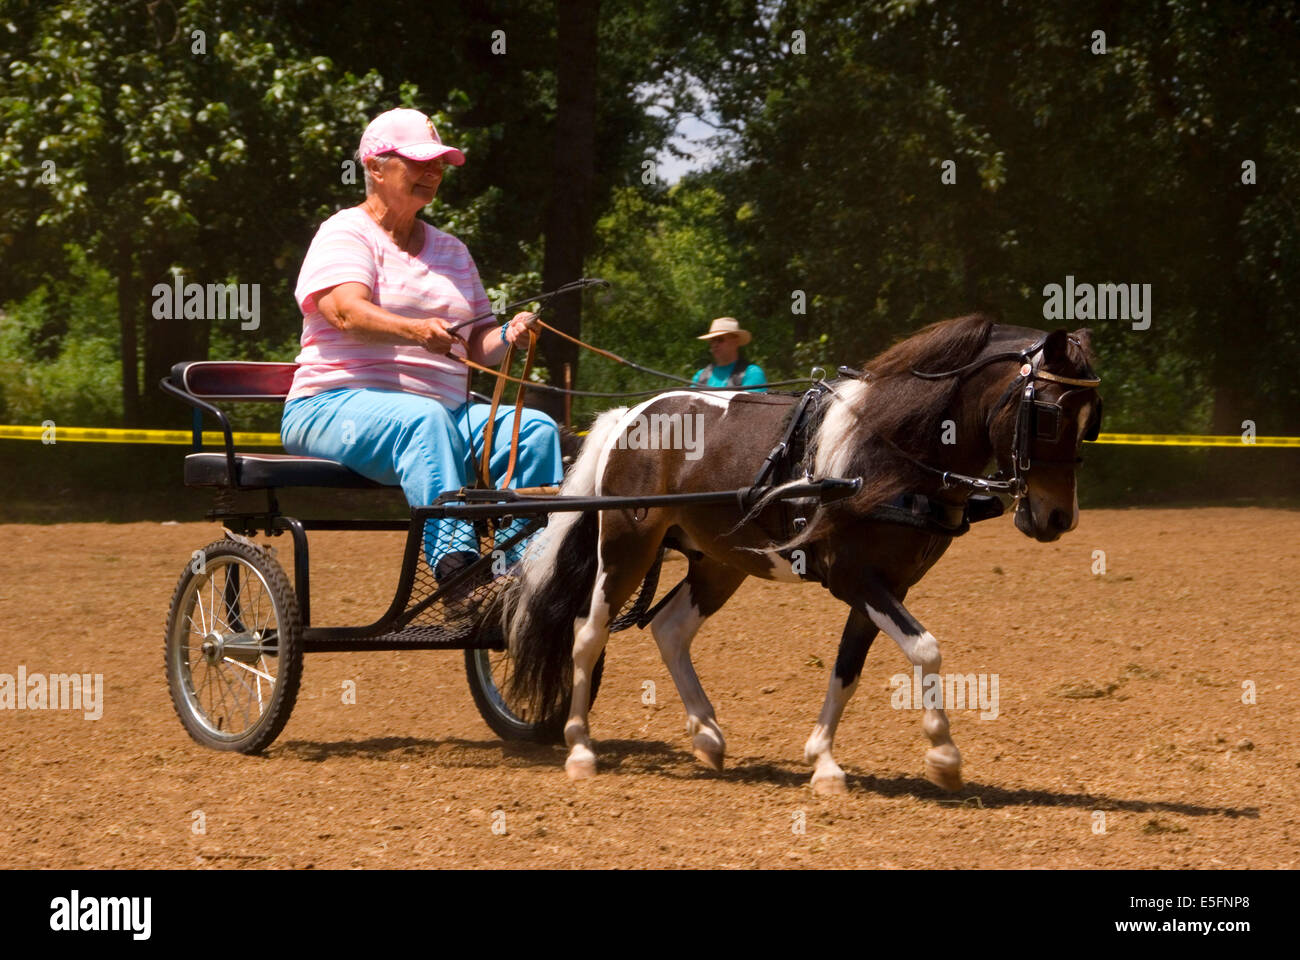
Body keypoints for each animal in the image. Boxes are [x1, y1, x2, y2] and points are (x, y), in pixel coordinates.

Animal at [500, 314, 1102, 793]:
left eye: (1091, 419)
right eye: (1048, 415)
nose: (1058, 518)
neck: (885, 456)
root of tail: (630, 416)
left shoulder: (886, 586)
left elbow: (848, 668)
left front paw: (824, 761)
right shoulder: (855, 579)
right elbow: (926, 649)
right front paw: (944, 755)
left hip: (719, 562)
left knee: (669, 628)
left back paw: (707, 735)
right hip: (627, 547)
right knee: (587, 633)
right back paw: (580, 748)